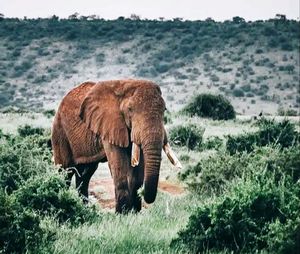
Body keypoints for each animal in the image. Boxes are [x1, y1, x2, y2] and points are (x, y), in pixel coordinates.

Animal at [51, 79, 182, 212]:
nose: (144, 195)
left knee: (85, 174)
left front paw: (135, 212)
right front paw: (122, 213)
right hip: (59, 131)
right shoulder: (109, 124)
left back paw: (85, 208)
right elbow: (119, 165)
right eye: (130, 109)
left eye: (164, 109)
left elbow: (139, 169)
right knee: (65, 171)